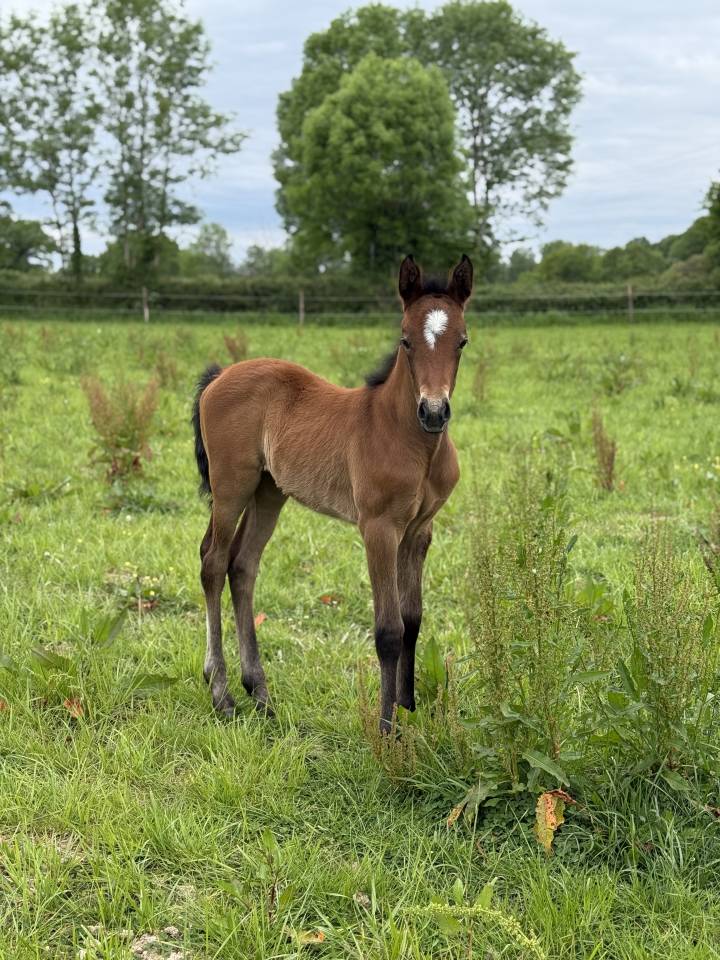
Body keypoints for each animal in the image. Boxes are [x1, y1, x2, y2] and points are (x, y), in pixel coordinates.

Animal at [192, 254, 472, 732]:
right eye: (405, 340)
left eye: (462, 341)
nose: (434, 412)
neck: (410, 440)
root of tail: (221, 374)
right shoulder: (378, 528)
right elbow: (389, 630)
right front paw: (387, 730)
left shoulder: (419, 530)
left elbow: (413, 619)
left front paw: (408, 708)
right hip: (231, 487)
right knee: (212, 561)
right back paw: (222, 693)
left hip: (269, 491)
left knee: (242, 565)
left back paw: (259, 693)